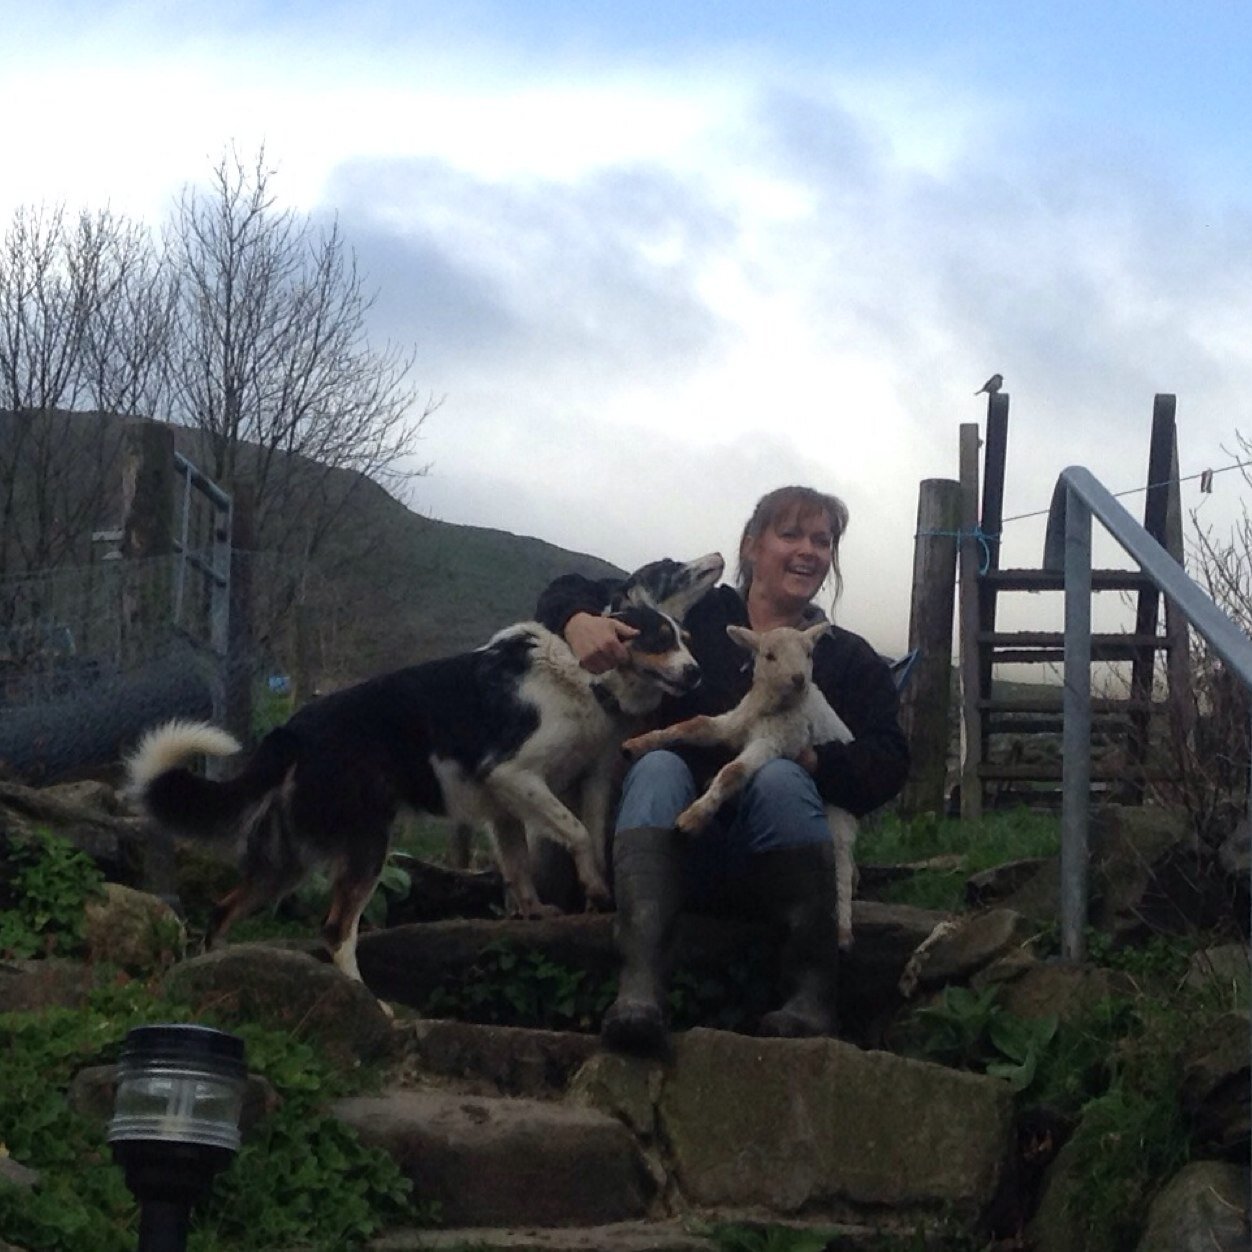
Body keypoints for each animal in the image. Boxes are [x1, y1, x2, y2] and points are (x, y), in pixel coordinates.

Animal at [124, 553, 726, 981]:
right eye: (658, 640)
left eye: (686, 640)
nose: (697, 674)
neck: (584, 673)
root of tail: (294, 729)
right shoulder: (514, 776)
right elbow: (575, 832)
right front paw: (586, 897)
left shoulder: (543, 792)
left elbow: (536, 860)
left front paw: (551, 907)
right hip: (366, 842)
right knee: (336, 928)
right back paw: (368, 1004)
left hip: (286, 861)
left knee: (223, 909)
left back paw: (206, 973)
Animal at [623, 620, 861, 941]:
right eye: (769, 655)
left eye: (810, 653)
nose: (799, 679)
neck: (768, 707)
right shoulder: (732, 724)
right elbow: (691, 725)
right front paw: (637, 744)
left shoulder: (776, 742)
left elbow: (733, 771)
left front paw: (694, 817)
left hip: (837, 820)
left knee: (841, 867)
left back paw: (843, 929)